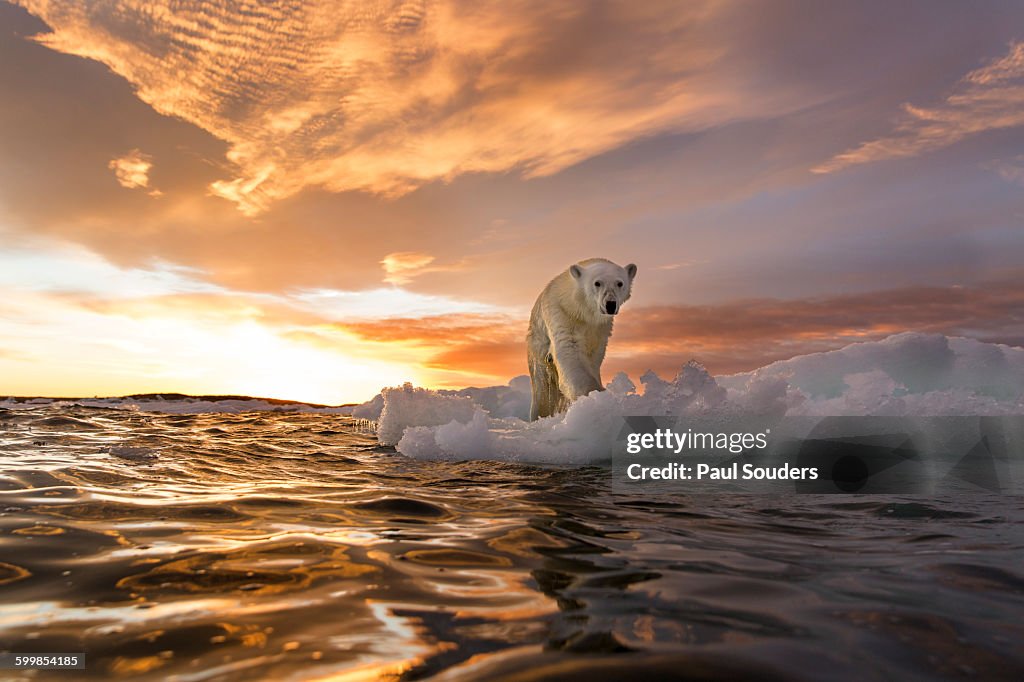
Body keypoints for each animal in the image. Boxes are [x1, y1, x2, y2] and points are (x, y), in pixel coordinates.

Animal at [528, 259, 630, 419]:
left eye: (619, 283)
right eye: (597, 283)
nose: (610, 304)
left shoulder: (600, 329)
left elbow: (593, 358)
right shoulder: (562, 315)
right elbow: (570, 351)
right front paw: (595, 395)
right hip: (537, 349)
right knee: (542, 389)